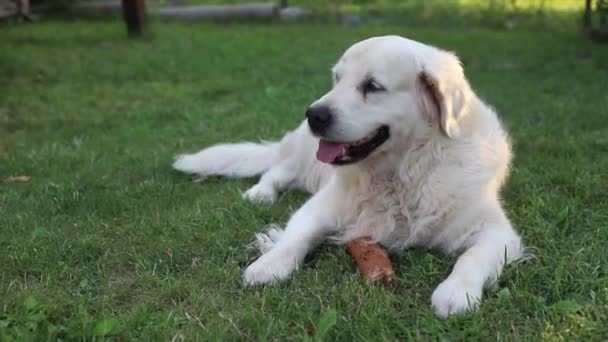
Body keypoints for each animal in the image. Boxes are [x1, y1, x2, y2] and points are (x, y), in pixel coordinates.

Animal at [173, 35, 524, 318]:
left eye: (373, 86)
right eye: (336, 79)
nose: (313, 114)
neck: (399, 173)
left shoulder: (497, 233)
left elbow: (472, 257)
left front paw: (455, 293)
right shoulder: (320, 206)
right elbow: (297, 237)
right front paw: (269, 265)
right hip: (302, 157)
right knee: (276, 170)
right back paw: (261, 193)